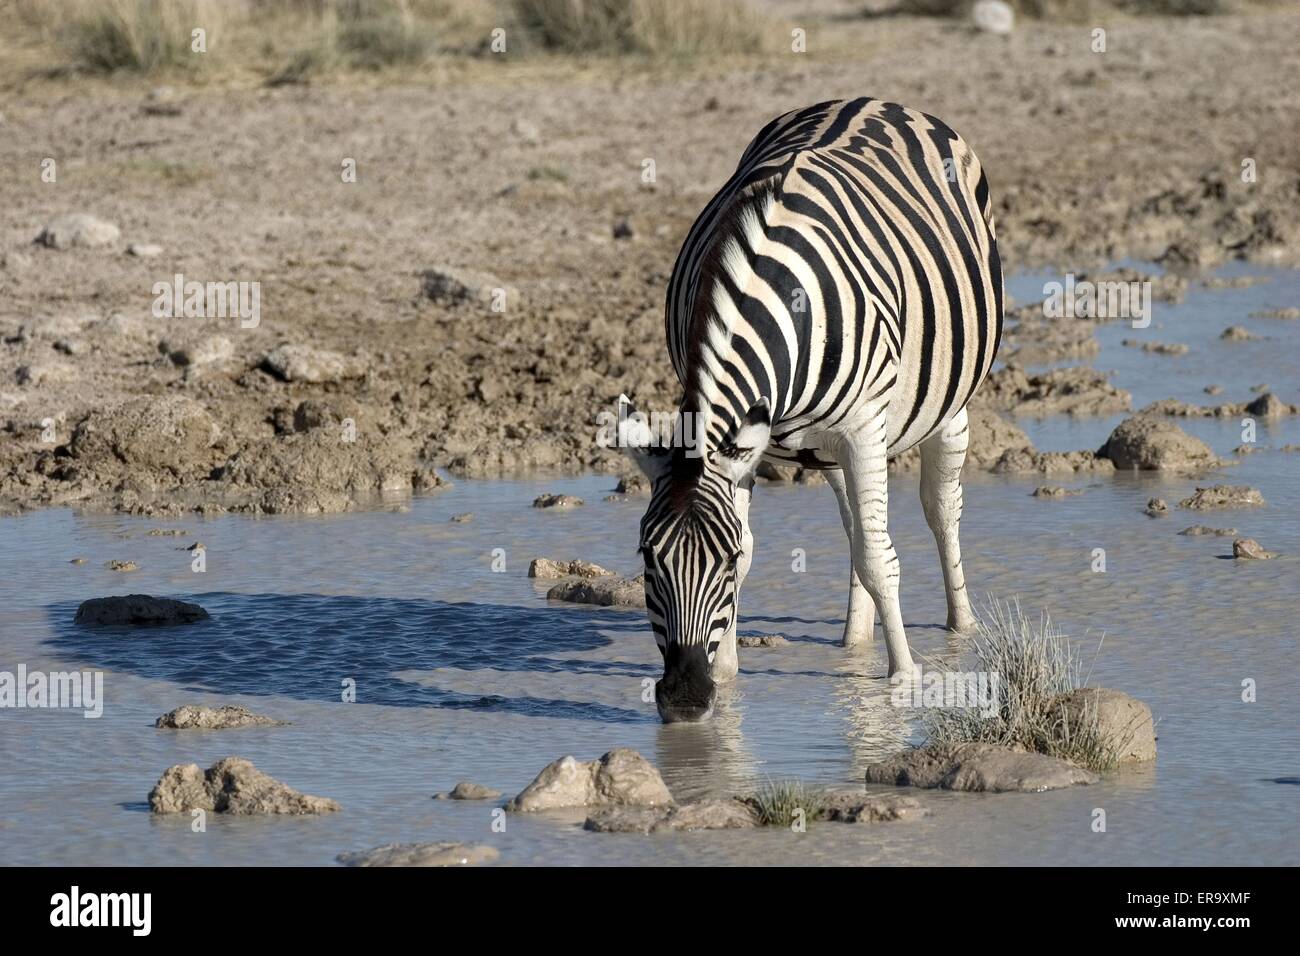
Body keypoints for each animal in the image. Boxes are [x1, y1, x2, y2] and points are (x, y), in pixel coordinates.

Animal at [618, 97, 1003, 723]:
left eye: (722, 562)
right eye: (648, 558)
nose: (685, 698)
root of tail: (872, 100)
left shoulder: (863, 425)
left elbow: (878, 555)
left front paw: (903, 680)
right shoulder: (757, 438)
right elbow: (825, 543)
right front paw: (729, 677)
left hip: (945, 403)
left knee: (940, 509)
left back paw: (960, 627)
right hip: (826, 444)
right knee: (856, 522)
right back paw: (855, 637)